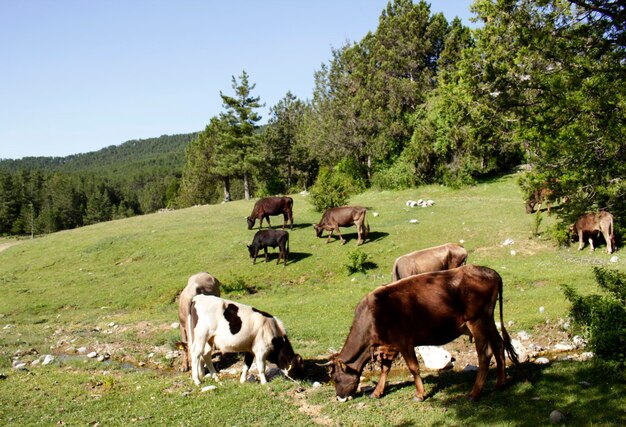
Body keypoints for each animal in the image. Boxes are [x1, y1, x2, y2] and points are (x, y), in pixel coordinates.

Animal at [324, 266, 520, 402]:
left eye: (335, 378)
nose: (339, 397)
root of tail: (490, 272)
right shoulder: (388, 345)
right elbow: (385, 368)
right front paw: (377, 391)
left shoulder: (403, 341)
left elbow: (413, 367)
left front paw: (420, 394)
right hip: (487, 320)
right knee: (499, 345)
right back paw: (500, 384)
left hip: (476, 321)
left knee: (485, 354)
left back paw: (474, 393)